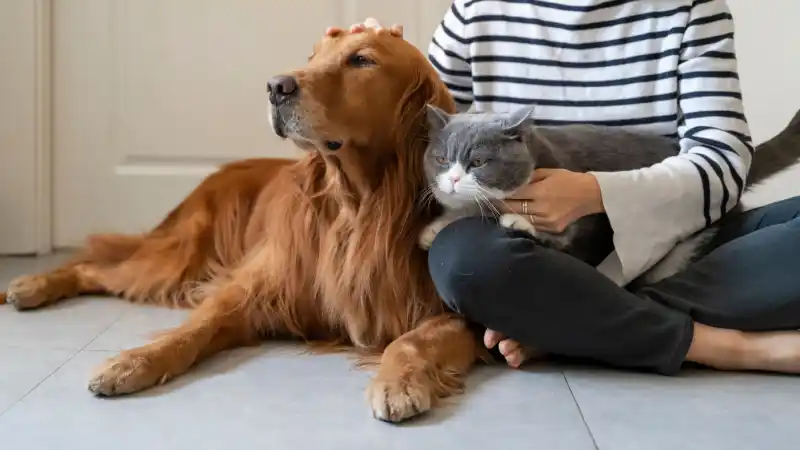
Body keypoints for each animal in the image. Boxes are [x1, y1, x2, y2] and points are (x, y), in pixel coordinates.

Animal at [0, 27, 482, 422]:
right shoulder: (249, 289)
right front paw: (133, 360)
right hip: (177, 259)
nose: (275, 86)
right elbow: (192, 329)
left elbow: (412, 340)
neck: (359, 205)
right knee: (94, 265)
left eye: (362, 60)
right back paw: (30, 285)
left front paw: (397, 382)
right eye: (313, 56)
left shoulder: (454, 316)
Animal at [418, 103, 800, 284]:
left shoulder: (583, 220)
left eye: (478, 161)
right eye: (441, 159)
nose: (453, 179)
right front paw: (435, 228)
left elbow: (563, 238)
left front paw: (520, 222)